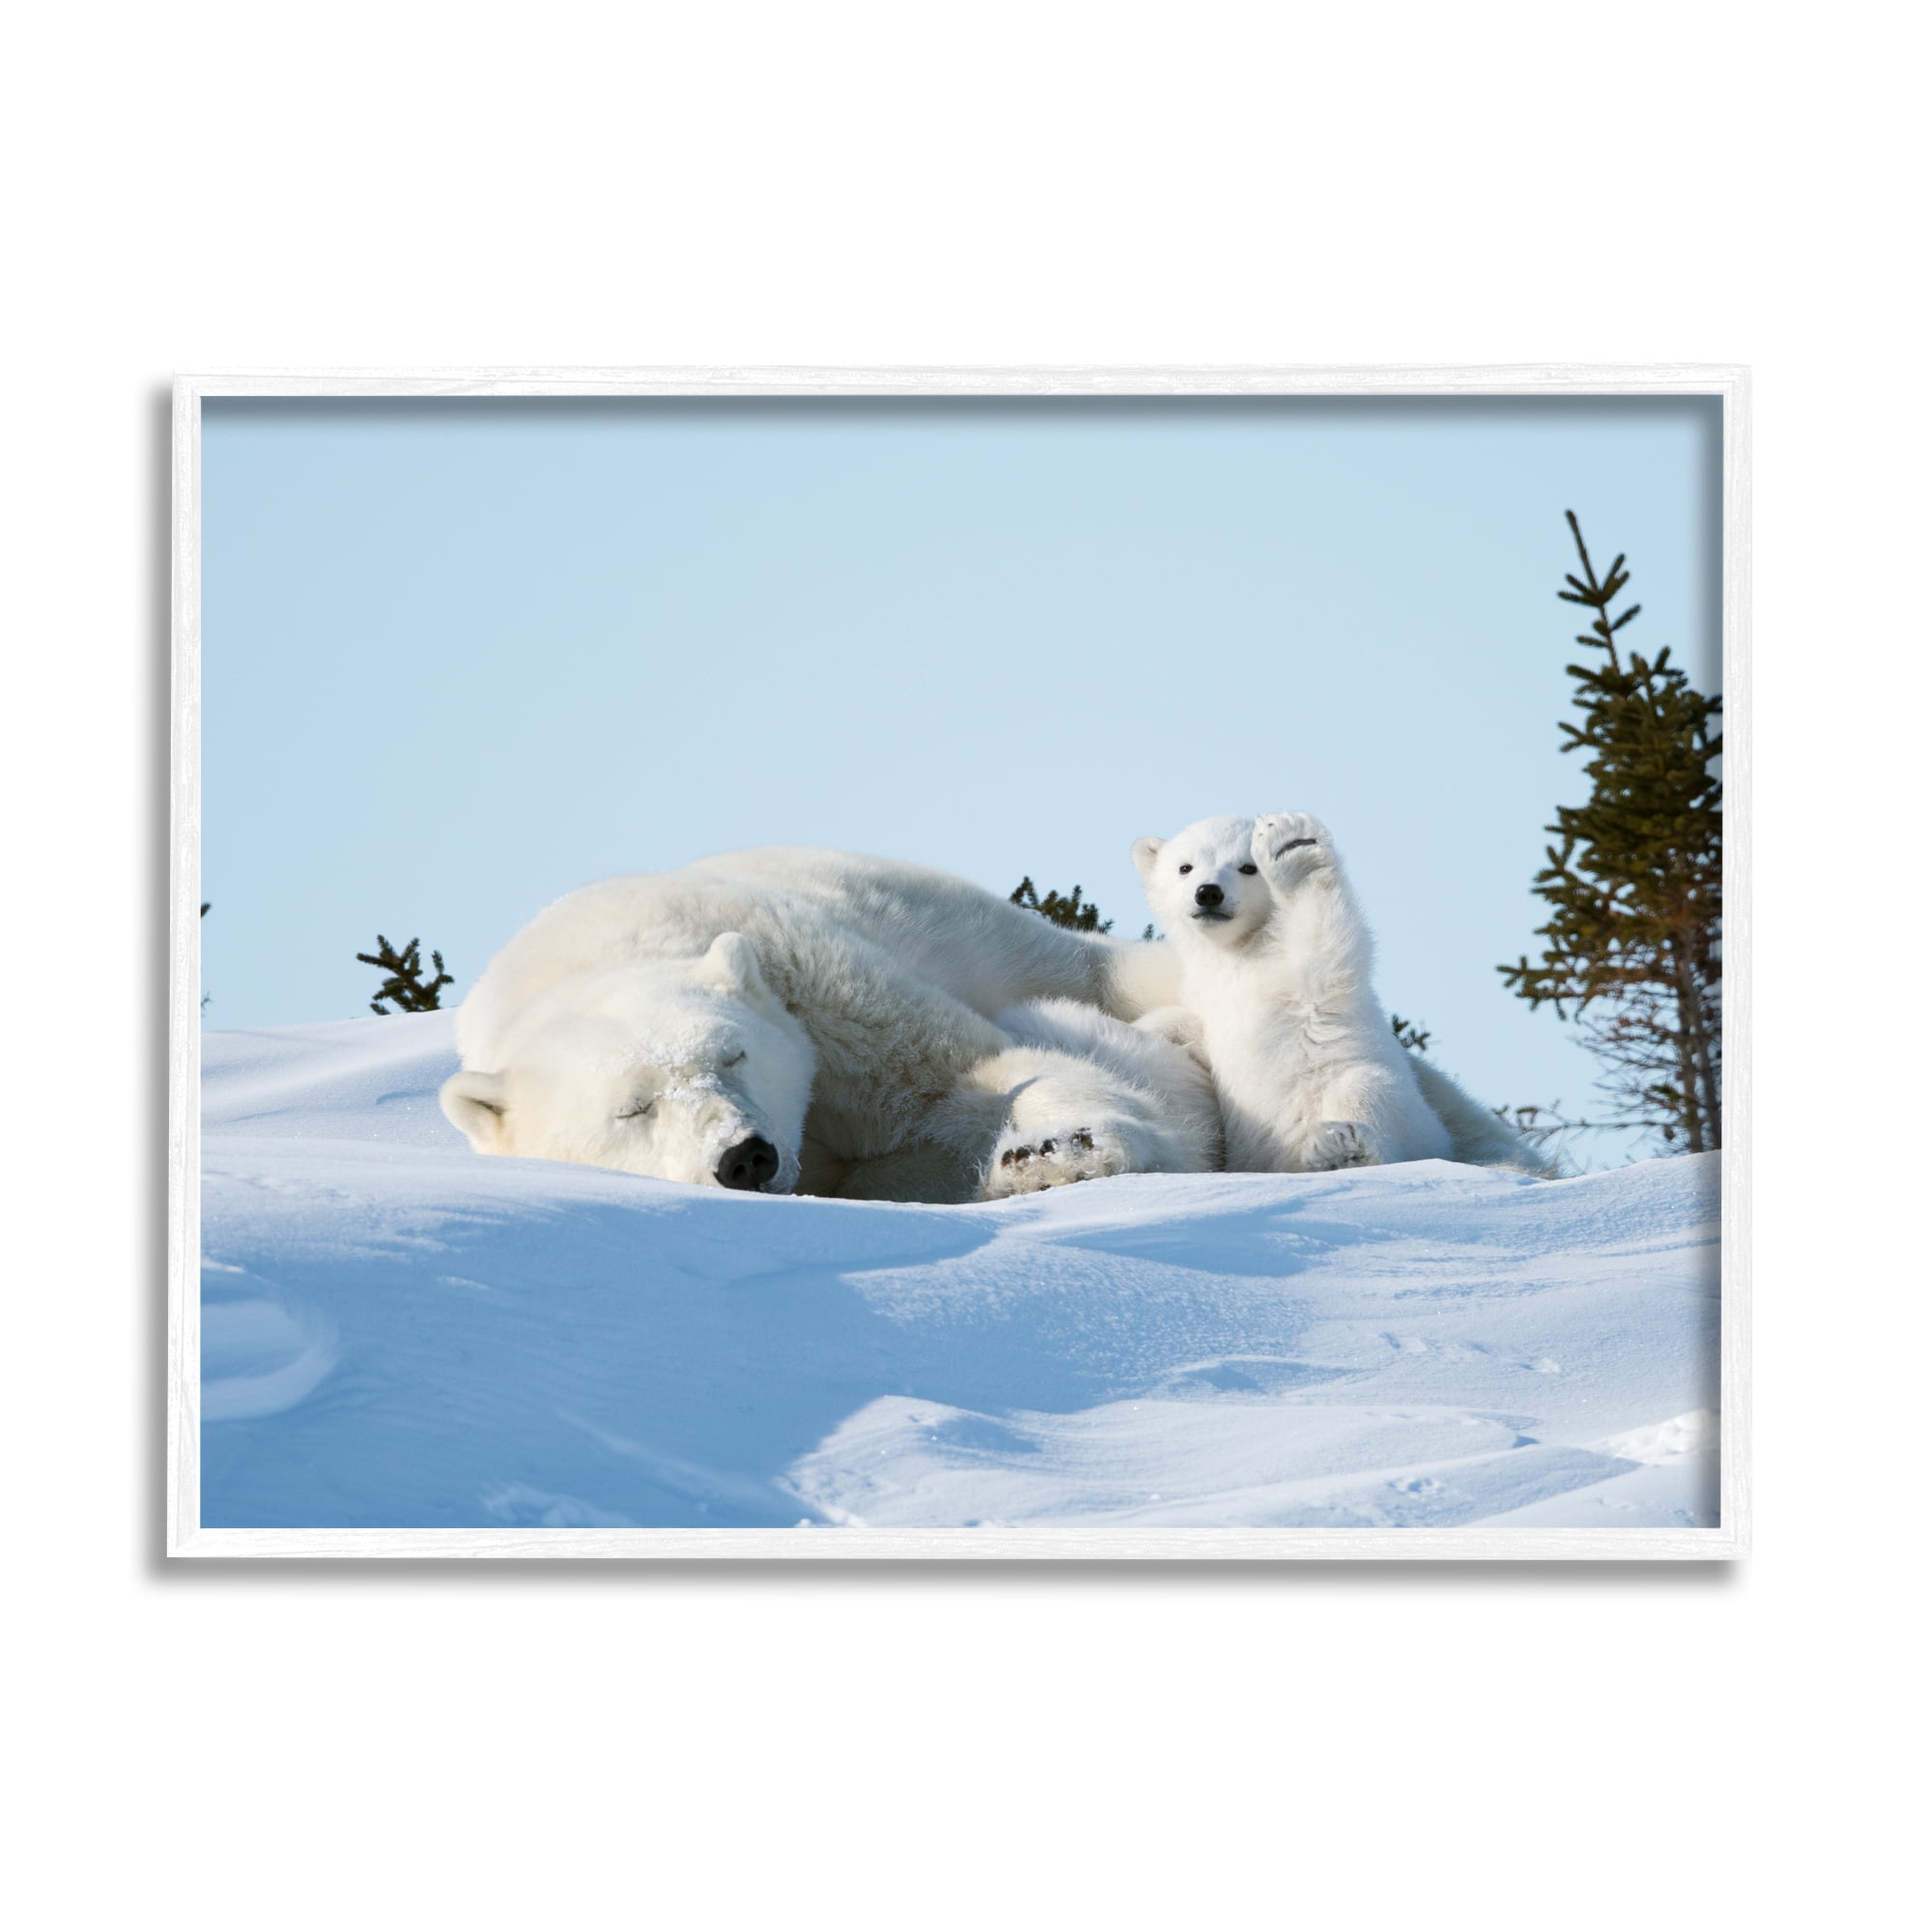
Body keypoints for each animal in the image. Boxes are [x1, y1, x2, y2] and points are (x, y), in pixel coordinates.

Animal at [438, 845, 1209, 1203]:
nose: (744, 1158)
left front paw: (1058, 1152)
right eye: (632, 1109)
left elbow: (967, 1072)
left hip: (1003, 938)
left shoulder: (811, 983)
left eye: (734, 1055)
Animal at [1133, 811, 1553, 1175]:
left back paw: (1342, 1149)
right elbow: (1188, 1025)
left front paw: (1292, 848)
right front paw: (1146, 1031)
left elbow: (1324, 942)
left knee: (1368, 1093)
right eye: (1185, 867)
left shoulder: (1297, 975)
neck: (1239, 952)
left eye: (1247, 867)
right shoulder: (1205, 993)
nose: (1208, 893)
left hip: (1397, 1110)